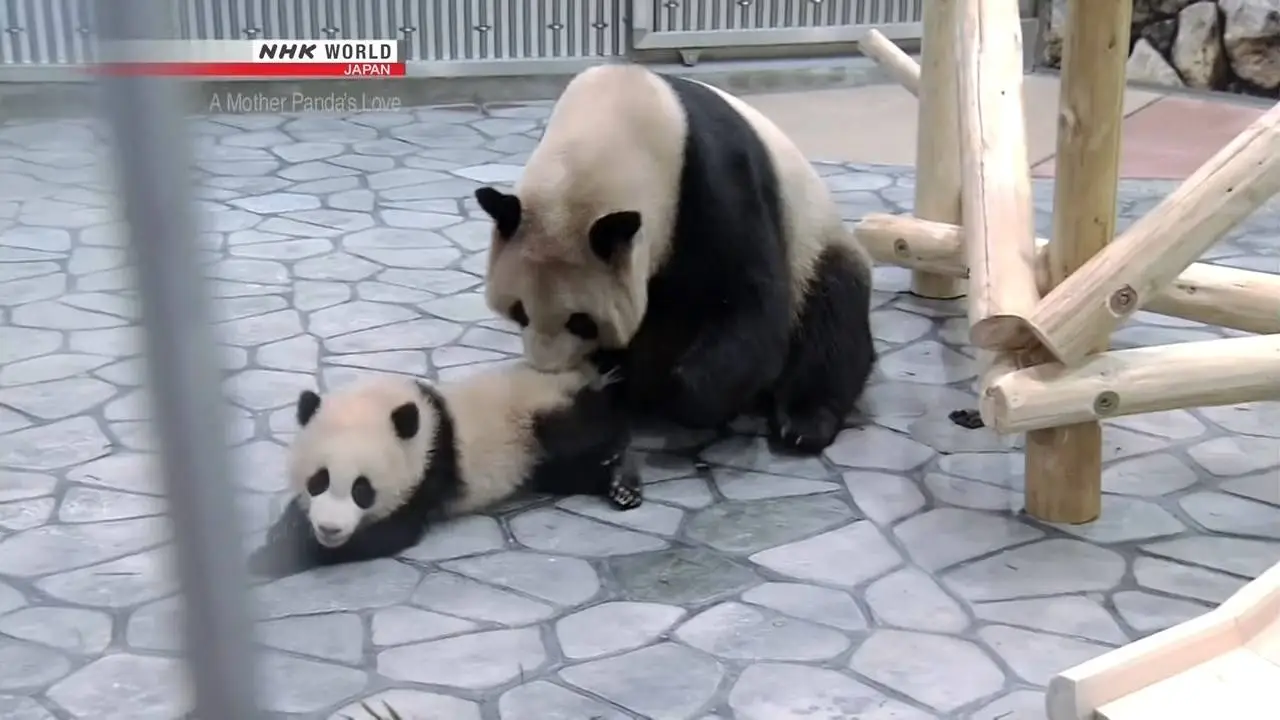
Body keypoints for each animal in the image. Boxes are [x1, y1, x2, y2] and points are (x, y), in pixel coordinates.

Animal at [248, 362, 641, 577]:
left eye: (362, 489)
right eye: (318, 481)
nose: (330, 529)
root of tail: (588, 376)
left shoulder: (428, 465)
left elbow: (392, 533)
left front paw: (277, 556)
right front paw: (285, 530)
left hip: (542, 410)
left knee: (583, 433)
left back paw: (623, 478)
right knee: (564, 473)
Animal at [474, 63, 875, 455]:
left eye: (581, 321)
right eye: (519, 311)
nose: (548, 368)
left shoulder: (715, 178)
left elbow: (750, 300)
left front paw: (680, 392)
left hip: (814, 243)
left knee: (831, 321)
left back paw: (803, 423)